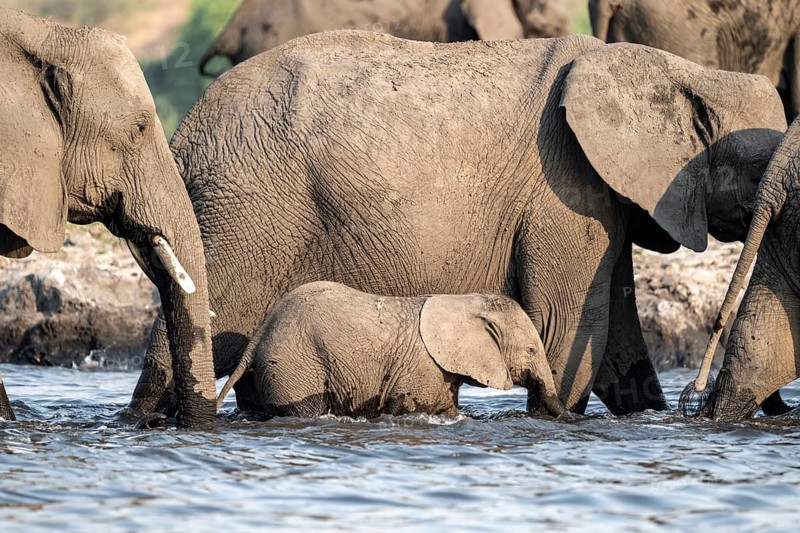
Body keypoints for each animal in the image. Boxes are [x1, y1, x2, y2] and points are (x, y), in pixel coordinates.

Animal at [216, 282, 567, 418]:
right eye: (532, 350)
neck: (465, 301)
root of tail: (260, 333)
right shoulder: (421, 369)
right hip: (295, 364)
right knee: (304, 410)